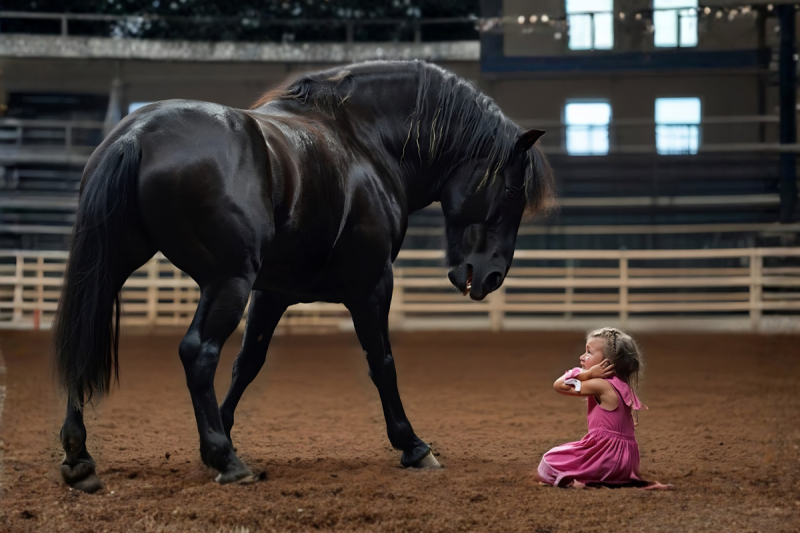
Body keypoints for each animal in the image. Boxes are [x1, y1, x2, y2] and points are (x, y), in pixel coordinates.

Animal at [53, 59, 553, 493]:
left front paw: (222, 434)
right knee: (198, 352)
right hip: (227, 282)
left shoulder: (272, 293)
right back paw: (228, 463)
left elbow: (248, 363)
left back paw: (81, 457)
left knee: (83, 336)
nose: (490, 277)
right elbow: (382, 362)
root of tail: (137, 135)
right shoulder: (372, 285)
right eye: (512, 190)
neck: (363, 142)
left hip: (113, 268)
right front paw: (413, 445)